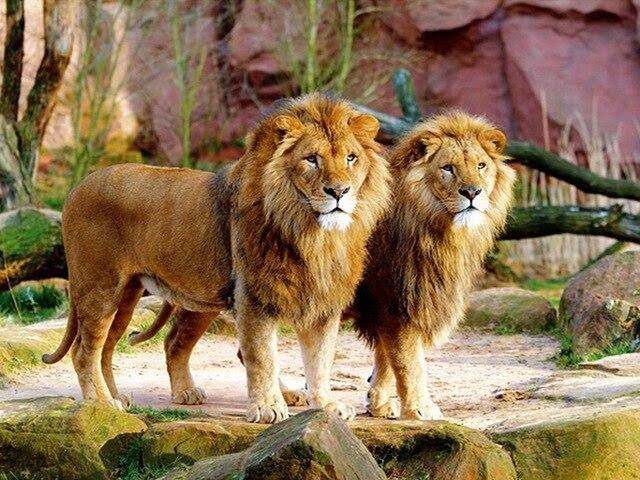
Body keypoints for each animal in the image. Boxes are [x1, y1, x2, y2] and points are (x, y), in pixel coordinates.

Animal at [42, 94, 391, 423]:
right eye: (311, 159)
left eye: (351, 158)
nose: (339, 192)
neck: (312, 233)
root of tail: (77, 187)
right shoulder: (254, 297)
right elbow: (262, 357)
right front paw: (267, 409)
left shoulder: (323, 301)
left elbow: (320, 360)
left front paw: (327, 405)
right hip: (100, 287)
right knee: (84, 351)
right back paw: (101, 404)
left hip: (131, 296)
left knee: (117, 347)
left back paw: (124, 398)